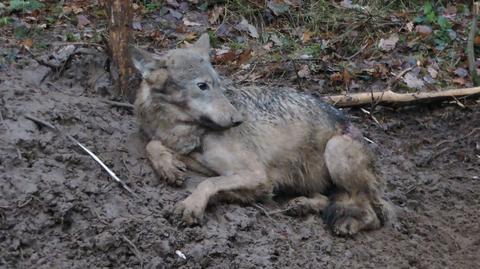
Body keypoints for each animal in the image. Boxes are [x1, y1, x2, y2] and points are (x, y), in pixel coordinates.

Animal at [131, 33, 394, 234]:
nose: (237, 120)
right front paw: (167, 166)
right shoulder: (202, 160)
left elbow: (208, 183)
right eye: (202, 86)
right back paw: (302, 205)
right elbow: (153, 145)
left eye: (219, 85)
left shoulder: (255, 173)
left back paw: (348, 223)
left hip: (336, 149)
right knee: (327, 199)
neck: (184, 130)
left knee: (374, 215)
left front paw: (191, 206)